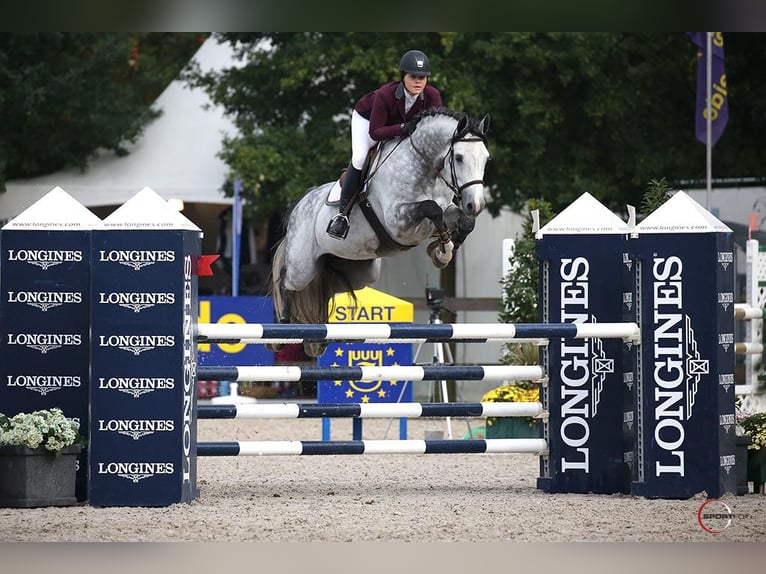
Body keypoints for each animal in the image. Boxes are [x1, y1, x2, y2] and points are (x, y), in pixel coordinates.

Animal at [270, 108, 492, 358]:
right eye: (459, 157)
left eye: (486, 158)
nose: (475, 204)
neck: (426, 170)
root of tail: (299, 205)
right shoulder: (398, 222)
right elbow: (431, 208)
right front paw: (442, 249)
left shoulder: (446, 211)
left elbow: (463, 222)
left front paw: (443, 250)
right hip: (302, 267)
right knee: (284, 280)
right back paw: (281, 331)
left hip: (359, 271)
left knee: (329, 286)